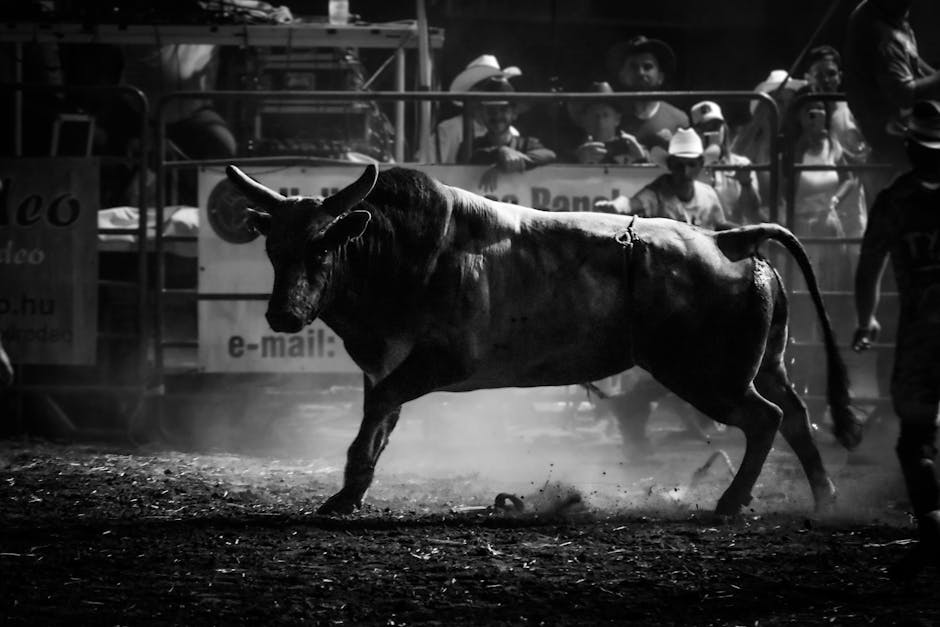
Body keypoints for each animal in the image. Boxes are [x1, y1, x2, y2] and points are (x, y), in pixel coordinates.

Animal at [225, 163, 864, 517]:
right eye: (274, 249)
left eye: (322, 248)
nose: (283, 315)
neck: (400, 253)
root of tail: (728, 239)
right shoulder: (385, 367)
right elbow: (380, 421)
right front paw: (350, 494)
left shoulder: (436, 364)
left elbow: (378, 415)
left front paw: (345, 492)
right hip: (762, 364)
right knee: (796, 415)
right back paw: (826, 497)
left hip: (708, 375)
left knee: (764, 419)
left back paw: (730, 504)